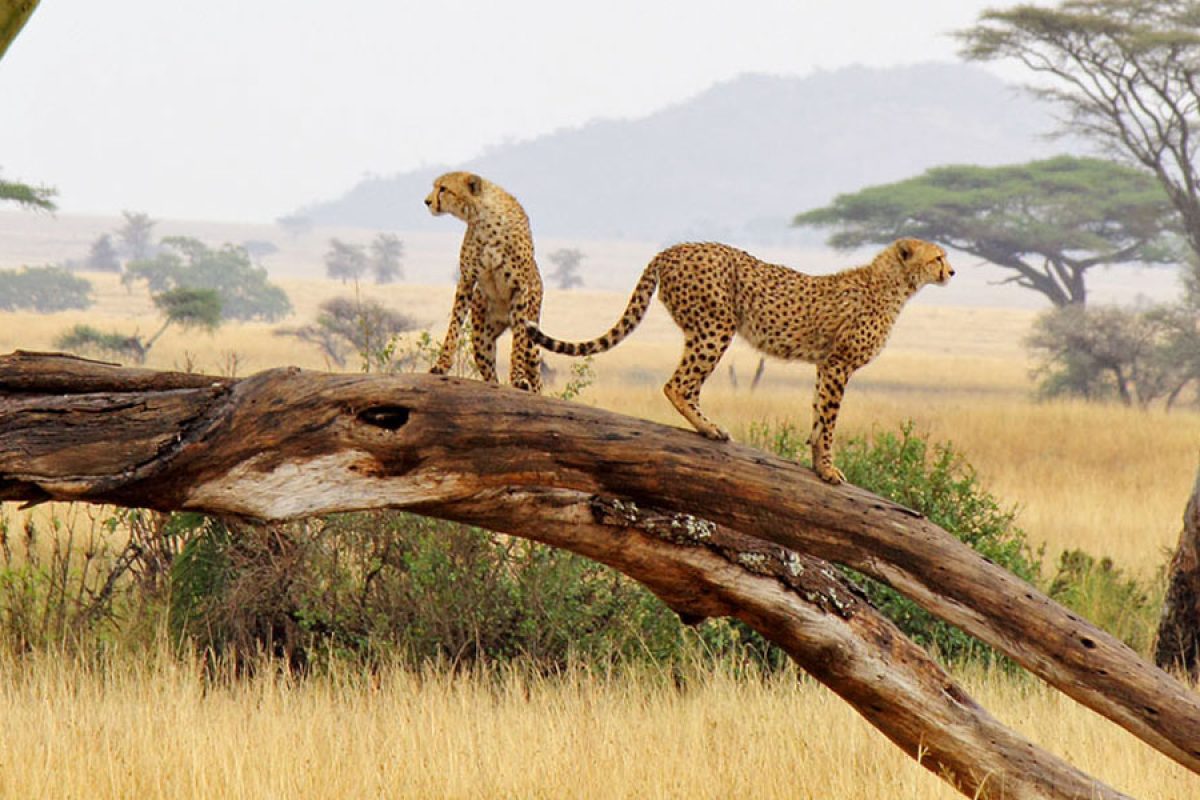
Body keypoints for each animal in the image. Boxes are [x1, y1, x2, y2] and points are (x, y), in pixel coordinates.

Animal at [424, 171, 544, 392]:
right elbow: (454, 325)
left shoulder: (520, 288)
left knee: (536, 377)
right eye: (436, 187)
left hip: (532, 342)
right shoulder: (467, 280)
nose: (427, 201)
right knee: (490, 375)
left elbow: (518, 342)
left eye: (443, 188)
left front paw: (517, 378)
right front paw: (441, 365)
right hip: (482, 339)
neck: (482, 217)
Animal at [527, 238, 954, 484]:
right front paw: (829, 469)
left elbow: (818, 417)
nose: (952, 270)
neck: (895, 284)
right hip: (716, 326)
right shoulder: (839, 364)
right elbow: (830, 421)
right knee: (677, 384)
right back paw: (710, 428)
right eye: (938, 257)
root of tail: (674, 247)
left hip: (704, 328)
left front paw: (819, 466)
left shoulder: (826, 365)